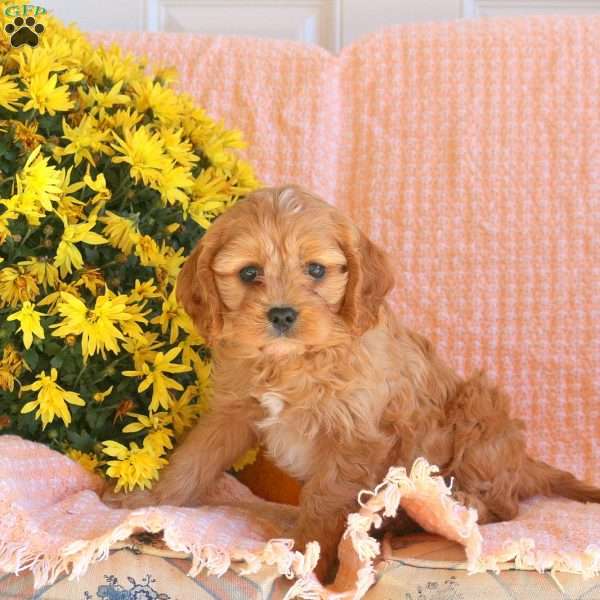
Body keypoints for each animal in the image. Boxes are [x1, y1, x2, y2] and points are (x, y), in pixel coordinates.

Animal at [113, 185, 600, 580]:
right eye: (250, 273)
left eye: (316, 270)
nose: (282, 314)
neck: (294, 361)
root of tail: (524, 463)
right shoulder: (232, 412)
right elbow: (193, 460)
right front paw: (145, 504)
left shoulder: (353, 438)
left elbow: (324, 501)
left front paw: (309, 559)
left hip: (480, 408)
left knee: (501, 505)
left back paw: (446, 509)